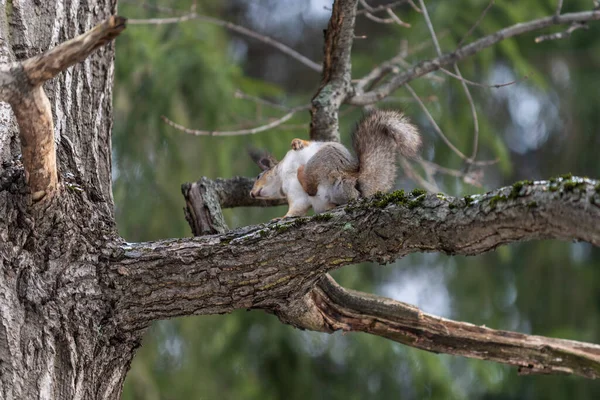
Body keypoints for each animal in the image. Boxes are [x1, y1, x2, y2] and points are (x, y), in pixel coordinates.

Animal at [248, 110, 422, 219]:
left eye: (258, 176)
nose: (251, 193)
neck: (284, 175)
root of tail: (355, 181)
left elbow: (305, 143)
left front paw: (296, 142)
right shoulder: (296, 197)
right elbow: (296, 210)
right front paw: (282, 217)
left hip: (325, 160)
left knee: (312, 179)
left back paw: (302, 172)